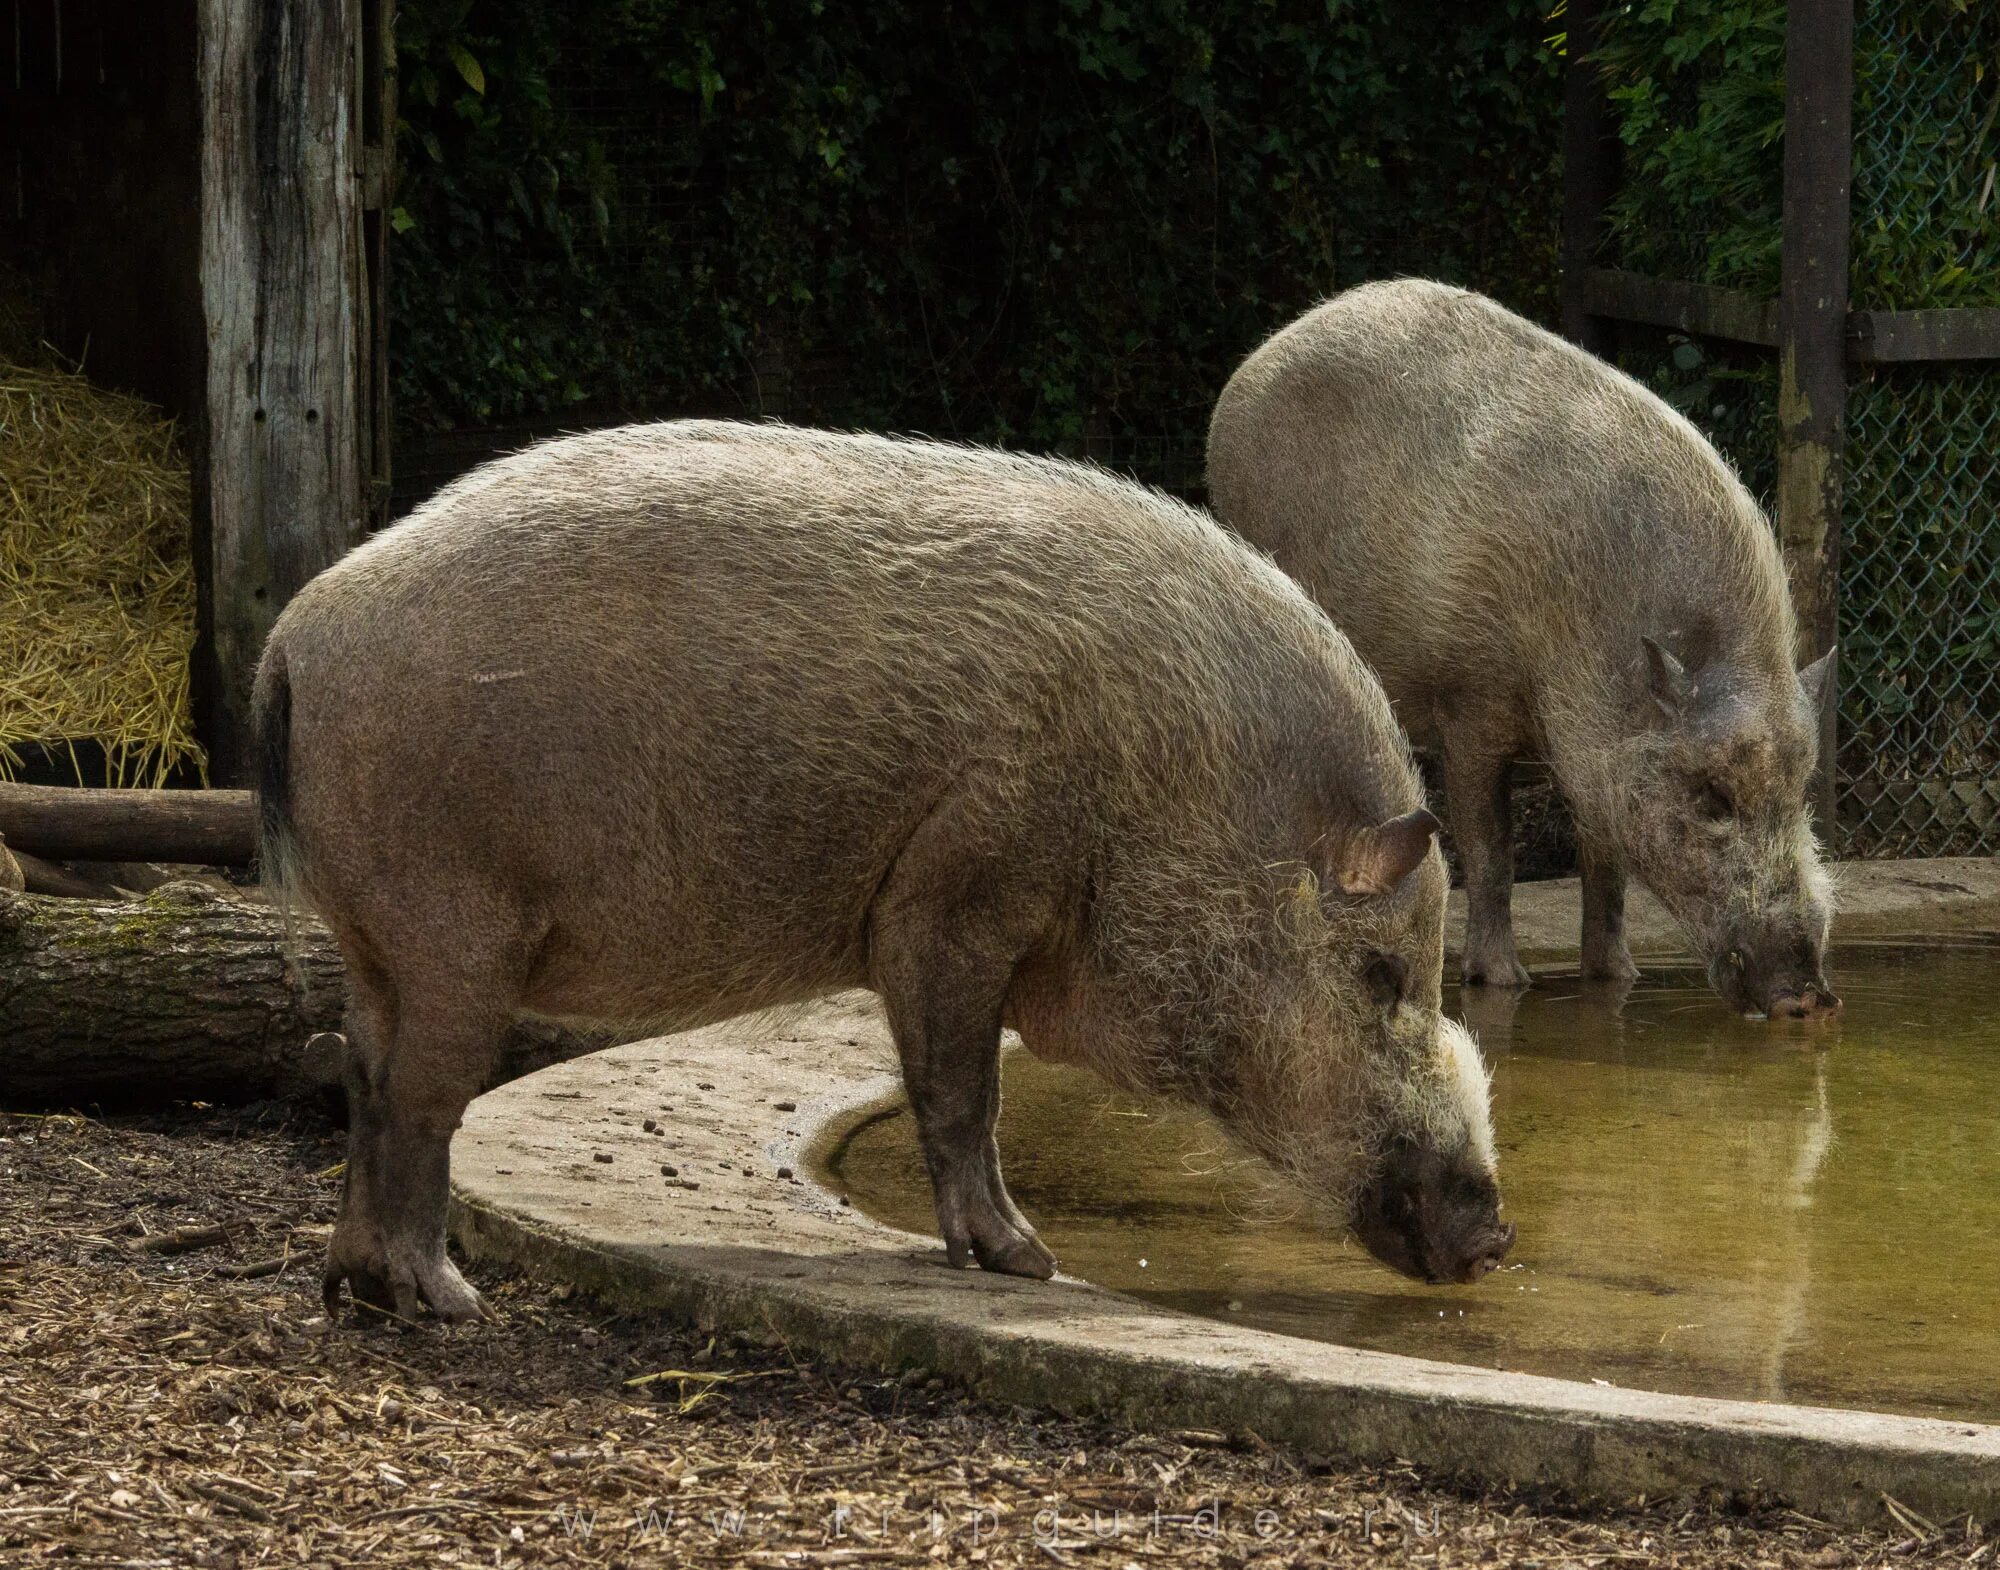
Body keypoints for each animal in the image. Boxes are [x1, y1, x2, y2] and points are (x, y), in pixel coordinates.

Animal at [1208, 280, 1832, 1016]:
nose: (1808, 996)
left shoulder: (1595, 758)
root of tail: (1249, 371)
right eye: (1712, 798)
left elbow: (1605, 864)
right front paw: (1504, 983)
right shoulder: (1470, 702)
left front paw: (1618, 978)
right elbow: (1491, 848)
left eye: (1801, 788)